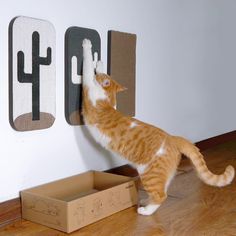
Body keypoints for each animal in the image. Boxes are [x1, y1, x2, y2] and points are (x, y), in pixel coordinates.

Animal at [81, 38, 234, 216]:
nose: (99, 73)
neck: (106, 99)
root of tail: (173, 137)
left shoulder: (89, 90)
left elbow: (86, 68)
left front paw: (88, 47)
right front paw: (100, 63)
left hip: (149, 174)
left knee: (161, 195)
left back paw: (145, 211)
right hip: (162, 174)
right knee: (162, 190)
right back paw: (146, 202)